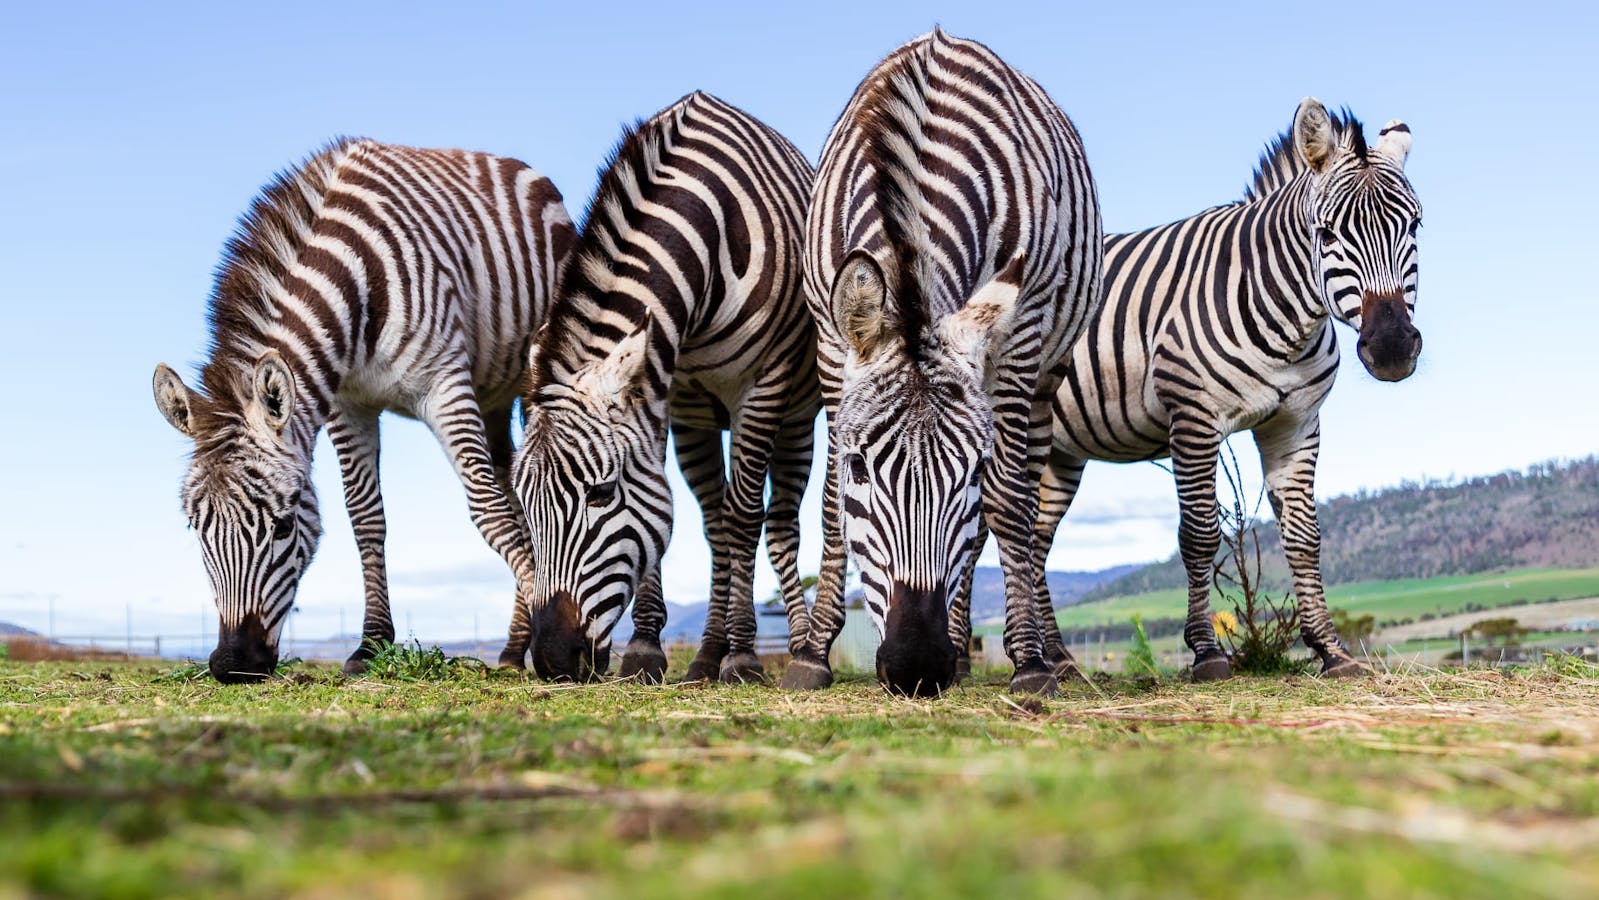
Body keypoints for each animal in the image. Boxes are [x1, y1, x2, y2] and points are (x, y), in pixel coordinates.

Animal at [152, 139, 574, 683]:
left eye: (283, 525)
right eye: (195, 528)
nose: (231, 665)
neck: (350, 282)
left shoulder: (443, 384)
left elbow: (488, 509)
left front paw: (550, 635)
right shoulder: (347, 405)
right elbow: (366, 518)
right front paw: (372, 643)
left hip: (530, 374)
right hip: (493, 400)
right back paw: (511, 647)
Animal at [512, 92, 820, 684]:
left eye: (600, 494)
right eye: (526, 507)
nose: (553, 660)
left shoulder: (759, 384)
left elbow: (745, 519)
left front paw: (744, 655)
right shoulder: (669, 394)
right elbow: (682, 516)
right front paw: (646, 647)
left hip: (795, 415)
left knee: (776, 523)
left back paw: (801, 647)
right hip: (701, 418)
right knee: (716, 521)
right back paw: (706, 655)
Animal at [778, 29, 1103, 697]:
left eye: (973, 469)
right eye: (858, 468)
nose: (917, 666)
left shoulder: (1018, 337)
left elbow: (1006, 504)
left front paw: (1030, 664)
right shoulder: (829, 339)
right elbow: (827, 509)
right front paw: (812, 654)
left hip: (1045, 374)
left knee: (1026, 515)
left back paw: (1042, 653)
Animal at [954, 98, 1422, 681]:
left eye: (1415, 224)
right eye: (1328, 232)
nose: (1393, 348)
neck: (1284, 312)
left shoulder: (1296, 424)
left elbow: (1304, 538)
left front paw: (1330, 651)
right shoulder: (1195, 419)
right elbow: (1199, 535)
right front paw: (1206, 652)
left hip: (1060, 451)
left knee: (1035, 538)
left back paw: (1060, 660)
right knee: (971, 534)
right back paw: (959, 658)